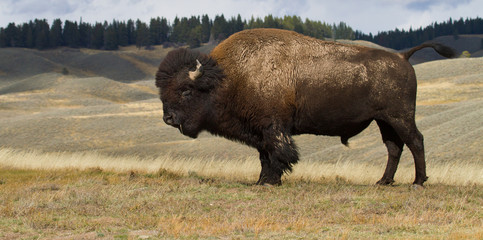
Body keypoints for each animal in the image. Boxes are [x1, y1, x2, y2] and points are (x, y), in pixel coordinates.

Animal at [154, 27, 454, 186]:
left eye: (186, 90)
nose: (168, 118)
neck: (230, 76)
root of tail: (403, 57)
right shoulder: (260, 131)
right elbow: (264, 155)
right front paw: (262, 180)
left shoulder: (273, 127)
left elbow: (278, 153)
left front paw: (271, 181)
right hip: (384, 121)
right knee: (394, 147)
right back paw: (383, 182)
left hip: (400, 116)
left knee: (415, 141)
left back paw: (418, 182)